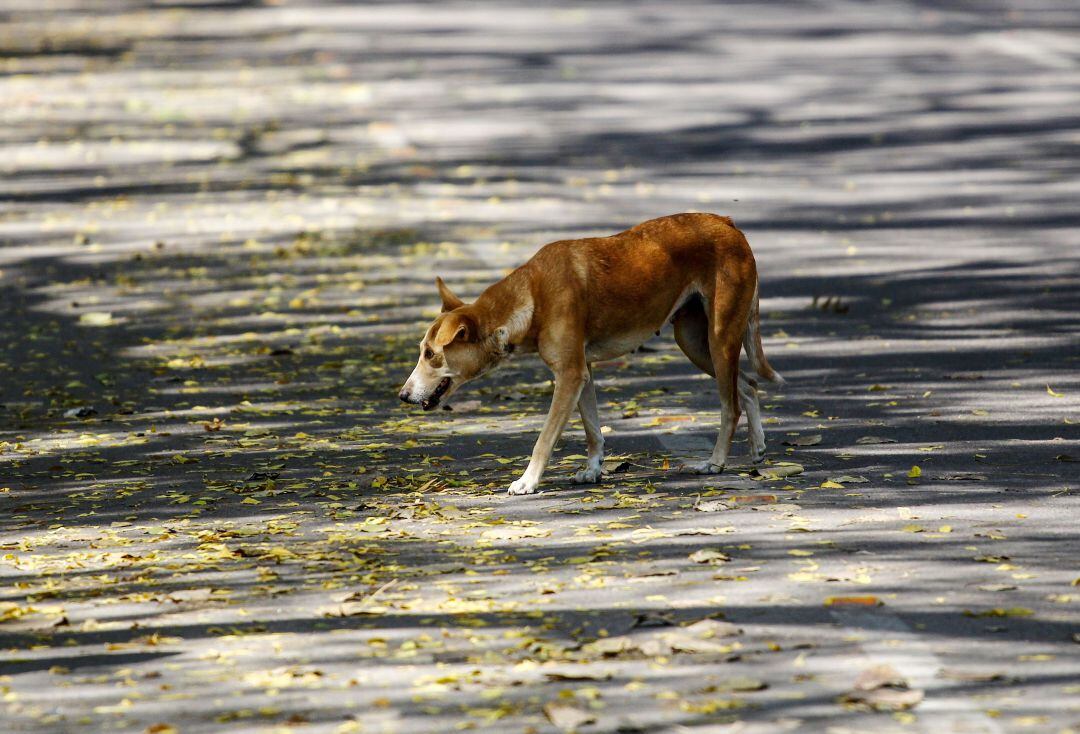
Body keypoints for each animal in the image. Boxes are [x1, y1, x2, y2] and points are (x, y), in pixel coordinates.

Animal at [401, 213, 781, 498]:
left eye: (431, 354)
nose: (403, 395)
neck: (533, 296)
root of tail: (727, 223)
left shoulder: (569, 375)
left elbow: (544, 440)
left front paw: (527, 481)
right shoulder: (582, 373)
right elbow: (592, 430)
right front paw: (593, 470)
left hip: (719, 339)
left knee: (731, 406)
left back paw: (716, 462)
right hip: (695, 344)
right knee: (747, 386)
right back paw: (758, 449)